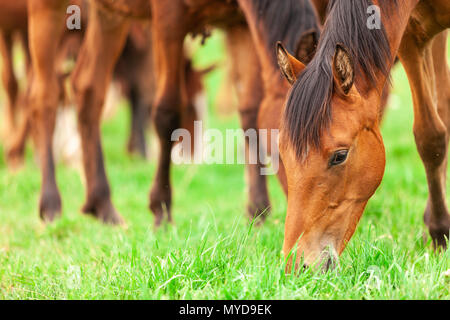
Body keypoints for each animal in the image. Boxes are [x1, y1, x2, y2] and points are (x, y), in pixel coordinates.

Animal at [278, 0, 450, 270]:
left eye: (340, 156)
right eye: (282, 154)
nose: (296, 266)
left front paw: (440, 234)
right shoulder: (412, 37)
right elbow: (430, 136)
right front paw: (438, 232)